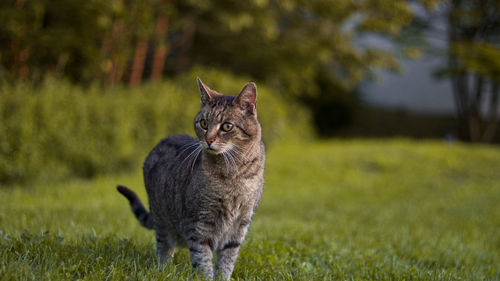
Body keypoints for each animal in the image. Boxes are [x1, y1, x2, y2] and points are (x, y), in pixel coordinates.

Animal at [116, 77, 266, 278]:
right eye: (203, 123)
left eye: (227, 126)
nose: (209, 140)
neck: (233, 173)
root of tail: (163, 140)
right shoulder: (198, 222)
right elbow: (202, 258)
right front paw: (205, 277)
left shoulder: (240, 224)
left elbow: (227, 260)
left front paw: (222, 277)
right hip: (162, 219)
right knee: (164, 247)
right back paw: (163, 270)